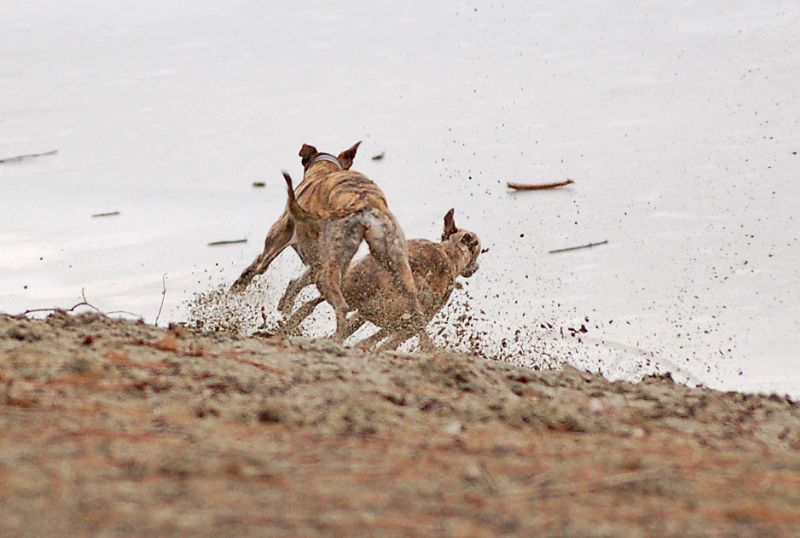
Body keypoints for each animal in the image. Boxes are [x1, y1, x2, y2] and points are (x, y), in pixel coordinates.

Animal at [233, 140, 424, 338]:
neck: (325, 169)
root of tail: (365, 203)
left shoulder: (278, 240)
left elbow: (256, 268)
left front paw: (235, 291)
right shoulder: (316, 264)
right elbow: (297, 283)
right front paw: (285, 305)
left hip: (329, 271)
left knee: (342, 307)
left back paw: (335, 338)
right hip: (396, 265)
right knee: (416, 309)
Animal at [282, 203, 482, 350]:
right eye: (480, 251)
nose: (476, 267)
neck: (449, 253)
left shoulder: (367, 315)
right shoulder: (410, 323)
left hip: (351, 286)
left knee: (314, 297)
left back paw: (289, 316)